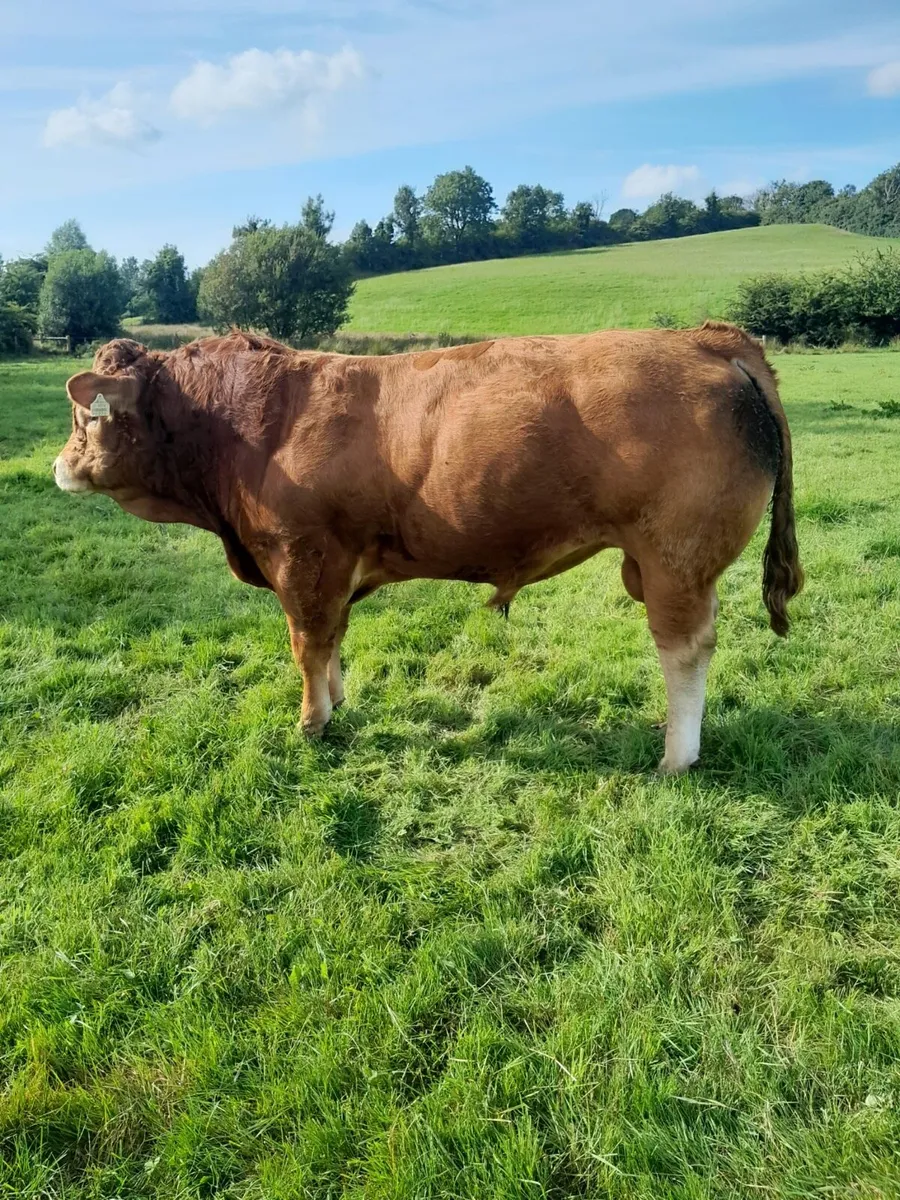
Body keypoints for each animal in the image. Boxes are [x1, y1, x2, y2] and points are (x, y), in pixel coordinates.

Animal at [53, 322, 802, 774]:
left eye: (86, 415)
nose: (59, 465)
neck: (247, 425)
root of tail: (704, 339)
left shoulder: (301, 557)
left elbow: (306, 642)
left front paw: (312, 722)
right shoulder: (333, 564)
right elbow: (332, 638)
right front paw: (337, 701)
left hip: (675, 558)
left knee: (685, 651)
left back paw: (676, 757)